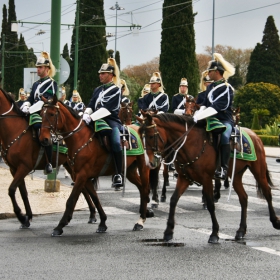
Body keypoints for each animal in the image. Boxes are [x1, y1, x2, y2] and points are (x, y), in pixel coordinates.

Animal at [0, 88, 97, 229]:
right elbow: (23, 192)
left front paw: (21, 217)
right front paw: (27, 218)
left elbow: (12, 190)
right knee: (83, 188)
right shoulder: (14, 169)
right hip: (73, 167)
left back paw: (90, 215)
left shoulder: (24, 167)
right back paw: (87, 215)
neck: (15, 131)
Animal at [38, 94, 153, 236]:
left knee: (145, 189)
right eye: (41, 113)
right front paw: (102, 222)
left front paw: (60, 226)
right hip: (130, 170)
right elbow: (95, 198)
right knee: (142, 189)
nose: (44, 139)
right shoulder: (84, 176)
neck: (80, 138)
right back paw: (143, 216)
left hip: (143, 168)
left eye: (52, 114)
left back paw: (141, 220)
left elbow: (71, 200)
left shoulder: (82, 175)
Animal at [138, 111, 280, 243]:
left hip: (258, 170)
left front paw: (214, 233)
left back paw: (275, 221)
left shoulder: (206, 179)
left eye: (151, 136)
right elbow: (173, 200)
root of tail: (254, 134)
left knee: (267, 192)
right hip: (236, 175)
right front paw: (168, 231)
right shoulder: (184, 178)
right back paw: (241, 230)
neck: (191, 143)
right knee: (243, 198)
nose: (149, 162)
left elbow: (211, 204)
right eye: (141, 136)